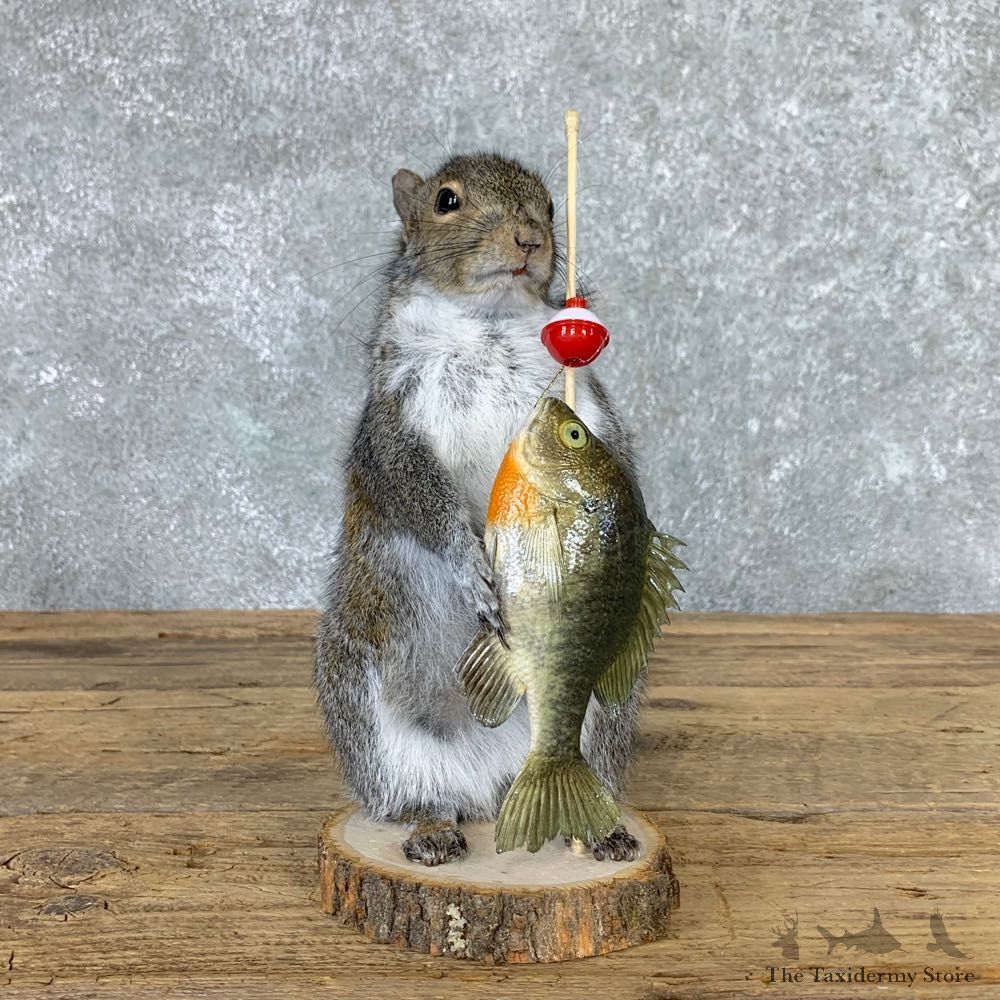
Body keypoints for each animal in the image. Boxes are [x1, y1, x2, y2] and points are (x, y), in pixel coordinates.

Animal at [314, 152, 644, 866]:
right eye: (446, 201)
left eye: (549, 206)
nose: (529, 240)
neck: (487, 322)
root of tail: (494, 788)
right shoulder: (392, 420)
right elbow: (418, 493)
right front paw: (471, 569)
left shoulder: (587, 401)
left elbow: (620, 465)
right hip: (365, 710)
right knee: (412, 797)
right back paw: (432, 829)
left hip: (609, 706)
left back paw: (597, 830)